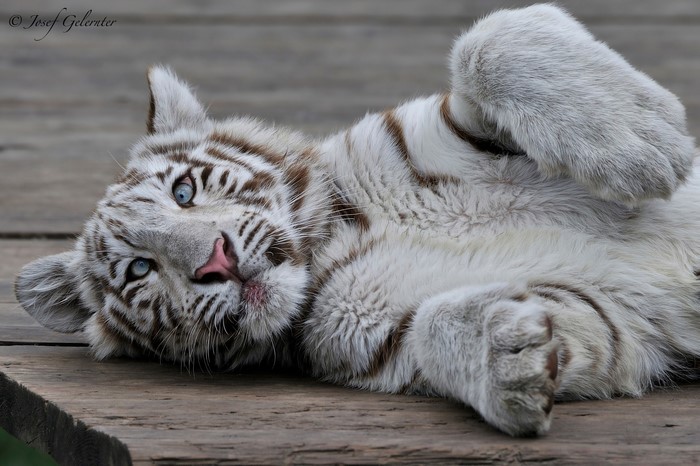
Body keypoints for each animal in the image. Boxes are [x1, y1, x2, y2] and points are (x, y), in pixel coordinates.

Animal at [14, 4, 700, 436]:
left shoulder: (444, 123)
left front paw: (643, 144)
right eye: (139, 270)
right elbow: (437, 322)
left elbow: (490, 38)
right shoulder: (612, 319)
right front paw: (508, 359)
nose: (216, 260)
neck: (330, 240)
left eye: (184, 192)